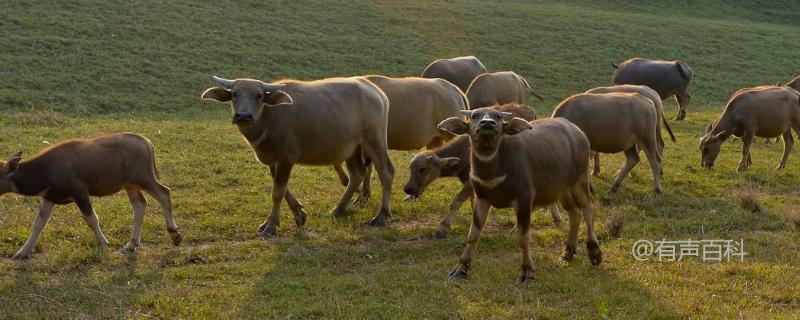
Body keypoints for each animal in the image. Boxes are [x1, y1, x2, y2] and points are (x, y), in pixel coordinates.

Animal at [202, 76, 396, 234]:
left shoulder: (286, 158)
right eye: (235, 94)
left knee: (386, 172)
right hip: (352, 148)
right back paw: (337, 210)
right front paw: (299, 213)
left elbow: (277, 192)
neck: (269, 118)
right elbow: (282, 188)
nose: (243, 116)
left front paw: (270, 224)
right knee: (358, 174)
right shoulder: (273, 160)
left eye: (259, 95)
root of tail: (379, 94)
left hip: (375, 141)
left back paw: (381, 215)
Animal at [404, 104, 560, 239]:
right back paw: (557, 220)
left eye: (423, 169)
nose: (408, 189)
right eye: (411, 168)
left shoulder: (470, 184)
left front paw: (442, 228)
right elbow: (473, 203)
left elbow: (456, 202)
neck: (463, 153)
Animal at [438, 108, 600, 282]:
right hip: (562, 189)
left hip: (580, 181)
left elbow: (523, 237)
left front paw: (527, 272)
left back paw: (594, 252)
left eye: (498, 116)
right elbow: (473, 234)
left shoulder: (524, 199)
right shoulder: (481, 199)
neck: (494, 171)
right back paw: (568, 252)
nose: (487, 123)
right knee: (574, 214)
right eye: (474, 116)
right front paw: (461, 269)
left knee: (588, 207)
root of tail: (579, 133)